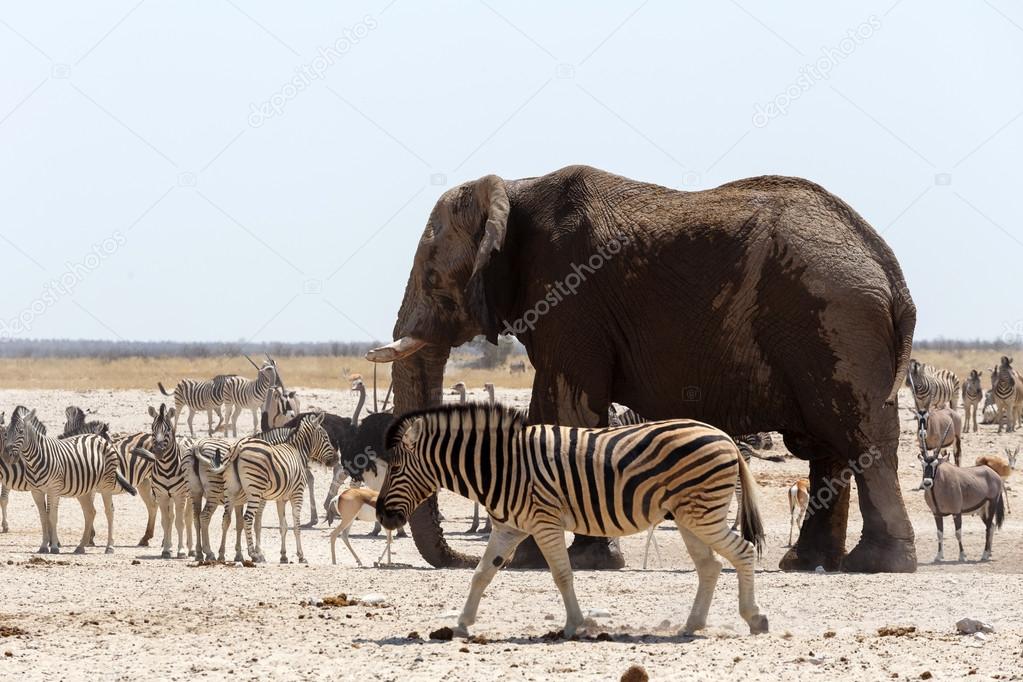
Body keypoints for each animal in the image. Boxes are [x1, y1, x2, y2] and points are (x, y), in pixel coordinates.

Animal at [4, 404, 138, 556]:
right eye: (6, 433)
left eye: (20, 431)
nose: (7, 456)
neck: (35, 459)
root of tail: (99, 439)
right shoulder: (36, 492)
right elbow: (43, 517)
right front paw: (44, 546)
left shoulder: (54, 490)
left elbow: (52, 517)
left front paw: (54, 547)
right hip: (85, 489)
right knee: (90, 512)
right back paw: (80, 547)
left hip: (106, 485)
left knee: (109, 511)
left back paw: (109, 547)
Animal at [370, 163, 920, 572]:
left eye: (433, 277)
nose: (463, 559)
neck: (513, 188)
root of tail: (888, 267)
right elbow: (550, 408)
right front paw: (535, 555)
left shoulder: (573, 296)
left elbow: (569, 408)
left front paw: (573, 559)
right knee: (828, 446)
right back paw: (805, 563)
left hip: (838, 322)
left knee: (860, 437)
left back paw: (877, 564)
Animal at [376, 402, 769, 638]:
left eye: (394, 469)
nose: (381, 514)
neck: (503, 466)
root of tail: (723, 435)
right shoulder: (509, 527)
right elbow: (481, 574)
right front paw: (461, 625)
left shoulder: (544, 522)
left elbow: (562, 575)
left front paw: (575, 625)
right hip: (690, 518)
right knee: (710, 567)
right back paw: (692, 624)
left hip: (703, 514)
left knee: (743, 552)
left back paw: (754, 618)